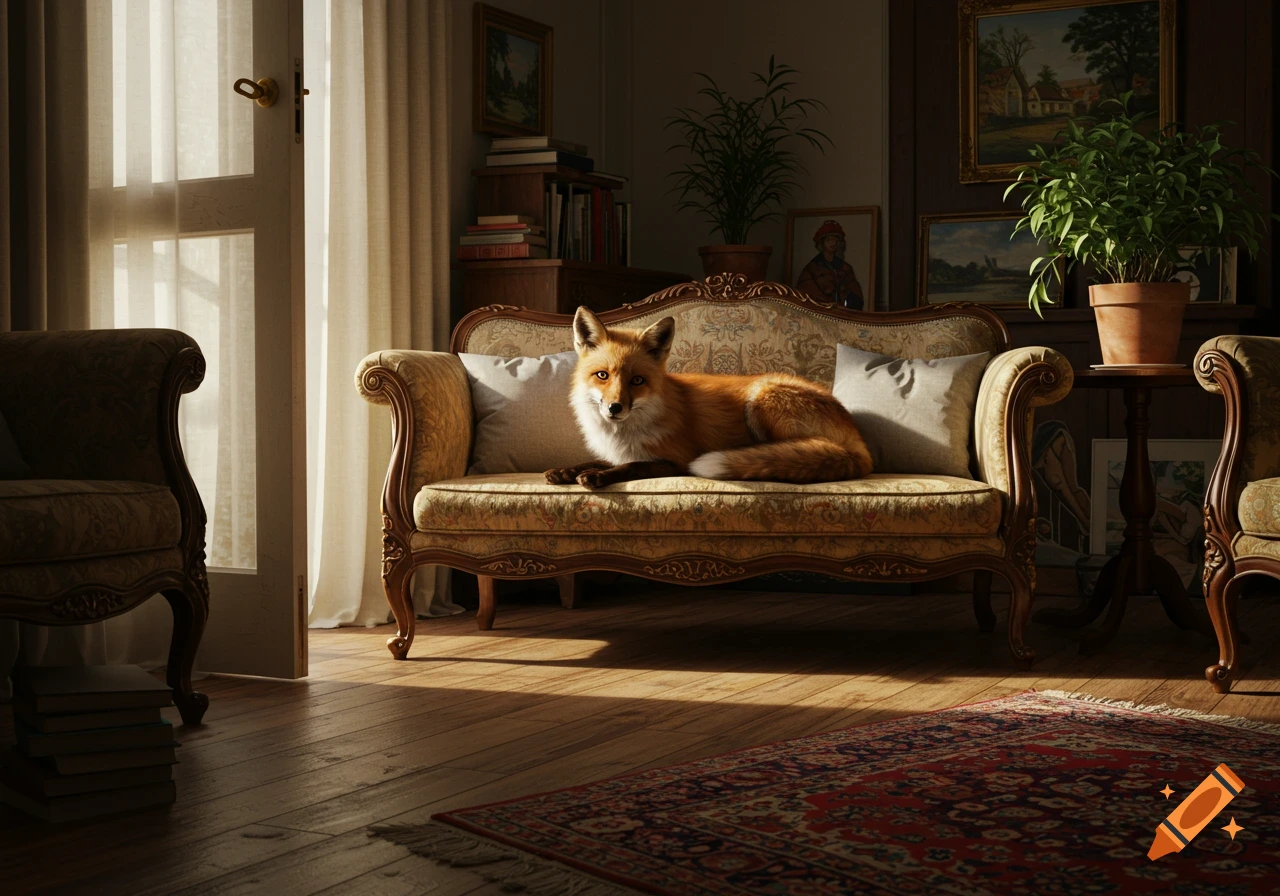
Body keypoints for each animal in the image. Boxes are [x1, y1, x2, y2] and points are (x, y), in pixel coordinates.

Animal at [545, 306, 873, 489]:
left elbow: (632, 467)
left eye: (637, 381)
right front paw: (567, 471)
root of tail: (859, 447)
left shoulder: (676, 461)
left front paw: (596, 477)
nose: (614, 408)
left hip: (762, 398)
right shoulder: (619, 451)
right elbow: (595, 460)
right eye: (602, 375)